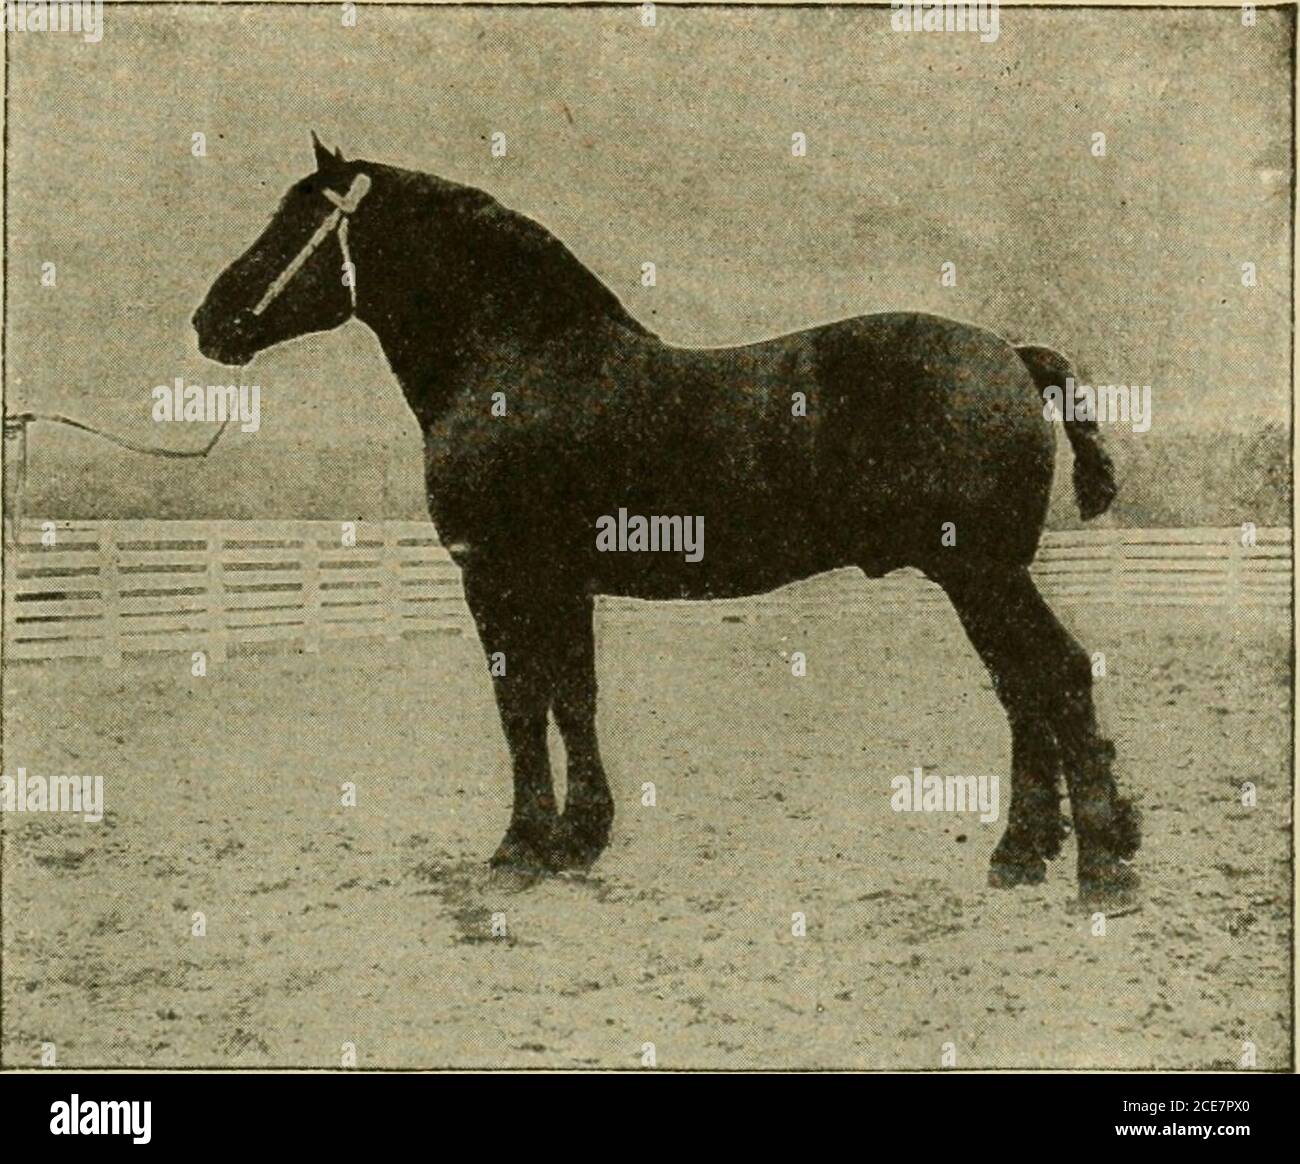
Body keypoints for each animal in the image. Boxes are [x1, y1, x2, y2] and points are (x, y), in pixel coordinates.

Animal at [192, 139, 1138, 910]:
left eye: (295, 223)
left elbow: (520, 705)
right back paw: (1023, 854)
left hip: (980, 571)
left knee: (1054, 676)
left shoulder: (498, 577)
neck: (519, 362)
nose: (210, 322)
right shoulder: (562, 582)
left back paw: (1101, 870)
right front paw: (578, 840)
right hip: (978, 577)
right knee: (1022, 690)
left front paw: (520, 849)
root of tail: (1014, 354)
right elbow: (572, 698)